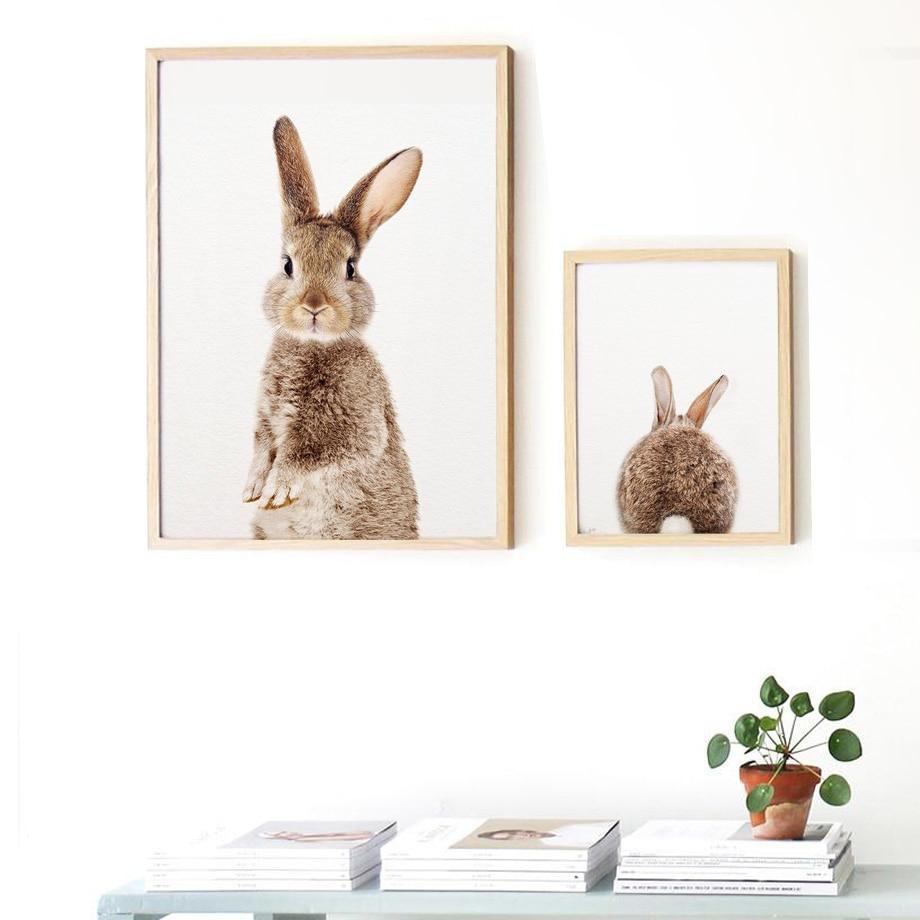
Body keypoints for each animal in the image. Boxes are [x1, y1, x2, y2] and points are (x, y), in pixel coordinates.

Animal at [243, 116, 420, 540]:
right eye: (287, 265)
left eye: (350, 268)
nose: (314, 305)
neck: (310, 345)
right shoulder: (265, 418)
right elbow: (261, 446)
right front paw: (253, 486)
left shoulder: (352, 424)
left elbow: (306, 454)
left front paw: (276, 488)